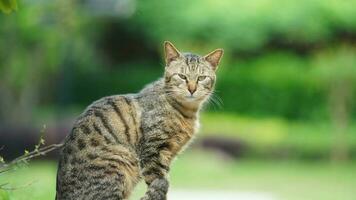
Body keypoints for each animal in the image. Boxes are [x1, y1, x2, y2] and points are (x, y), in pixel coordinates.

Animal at [55, 41, 222, 200]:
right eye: (182, 76)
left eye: (201, 78)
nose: (192, 89)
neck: (186, 111)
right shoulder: (153, 151)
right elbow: (159, 184)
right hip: (119, 162)